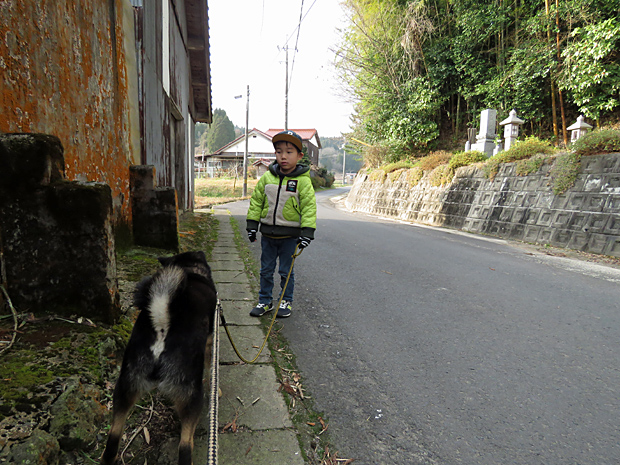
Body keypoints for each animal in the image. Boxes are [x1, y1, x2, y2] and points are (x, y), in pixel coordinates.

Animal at [100, 250, 217, 464]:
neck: (190, 269)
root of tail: (162, 324)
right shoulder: (209, 342)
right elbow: (210, 370)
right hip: (192, 396)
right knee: (185, 447)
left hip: (125, 386)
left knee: (112, 440)